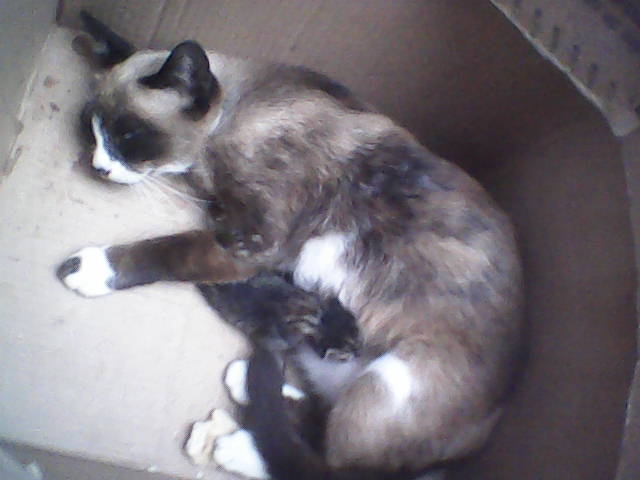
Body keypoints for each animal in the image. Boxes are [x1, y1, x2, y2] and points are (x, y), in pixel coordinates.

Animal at [57, 12, 524, 480]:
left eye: (129, 135)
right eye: (90, 129)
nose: (98, 166)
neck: (233, 118)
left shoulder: (253, 243)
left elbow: (171, 251)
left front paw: (94, 268)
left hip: (390, 382)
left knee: (330, 464)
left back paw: (236, 445)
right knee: (320, 420)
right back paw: (247, 383)